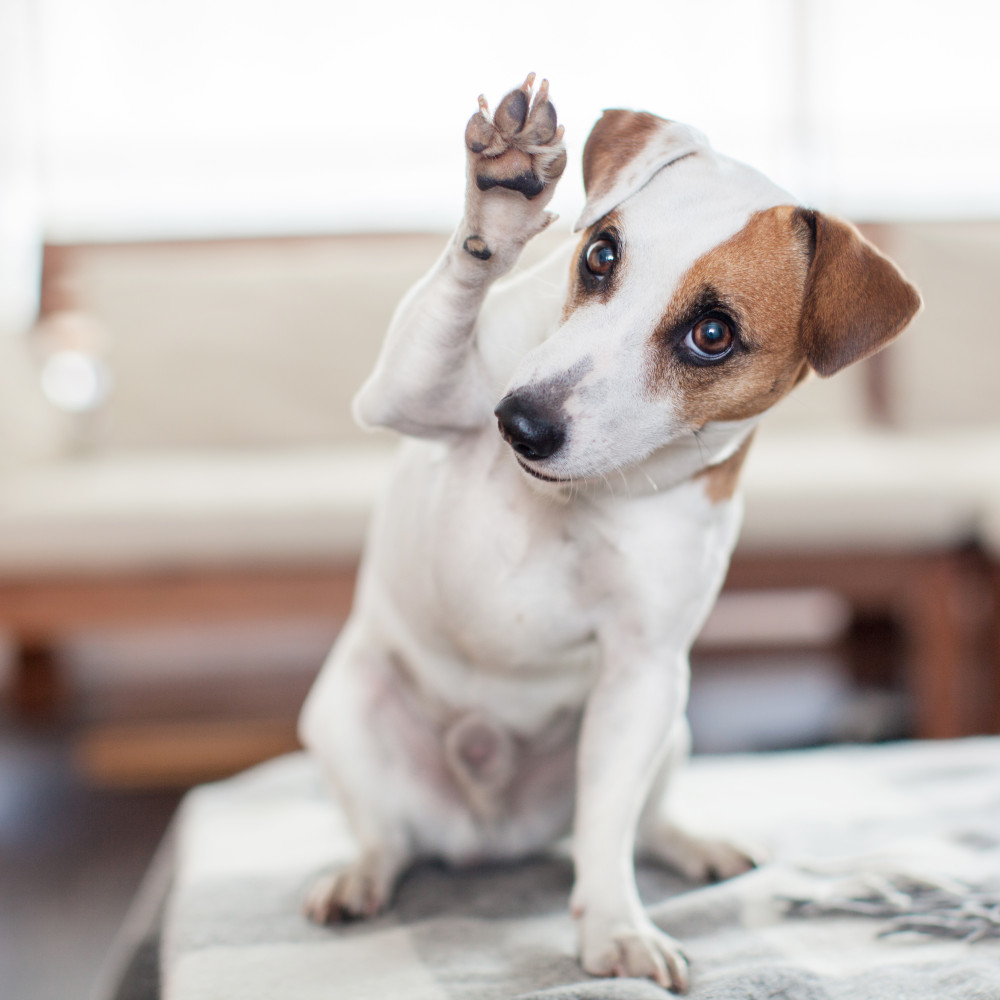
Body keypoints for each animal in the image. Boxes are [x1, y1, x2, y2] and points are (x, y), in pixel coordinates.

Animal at [298, 74, 920, 988]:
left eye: (712, 335)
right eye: (600, 256)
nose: (520, 423)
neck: (579, 496)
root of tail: (490, 835)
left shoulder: (642, 671)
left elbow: (606, 827)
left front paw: (614, 927)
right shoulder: (405, 393)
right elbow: (453, 305)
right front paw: (502, 199)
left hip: (672, 722)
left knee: (634, 819)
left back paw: (691, 844)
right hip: (348, 708)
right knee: (386, 834)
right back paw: (358, 876)